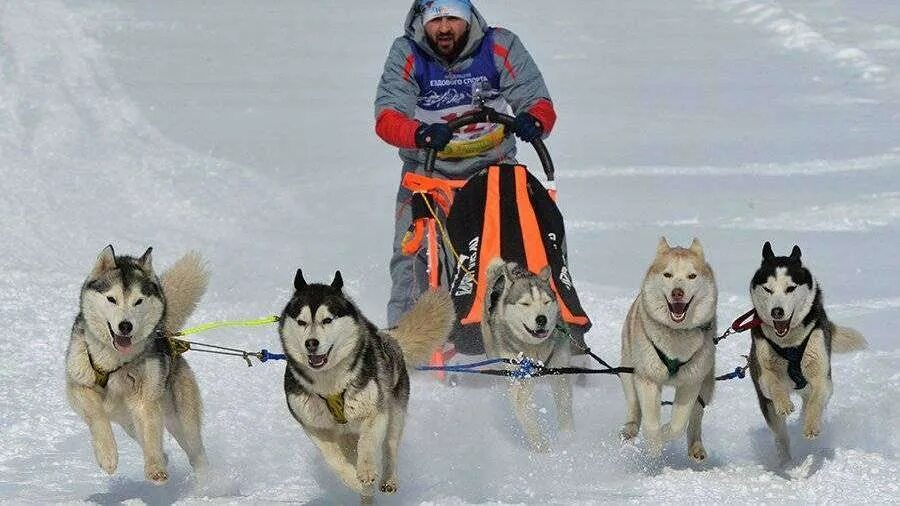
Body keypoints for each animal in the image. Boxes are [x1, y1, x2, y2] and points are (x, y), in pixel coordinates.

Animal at [65, 247, 209, 484]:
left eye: (138, 301)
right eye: (111, 299)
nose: (125, 326)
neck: (114, 363)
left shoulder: (145, 400)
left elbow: (151, 434)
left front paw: (155, 468)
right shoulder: (79, 386)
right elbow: (97, 416)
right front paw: (107, 456)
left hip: (180, 419)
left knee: (194, 450)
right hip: (130, 422)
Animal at [280, 270, 454, 500]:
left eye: (327, 320)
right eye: (301, 322)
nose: (311, 343)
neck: (330, 385)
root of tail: (389, 338)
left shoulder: (375, 413)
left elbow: (368, 444)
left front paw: (367, 471)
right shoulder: (315, 428)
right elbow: (334, 460)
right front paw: (355, 481)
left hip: (395, 413)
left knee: (390, 447)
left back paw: (388, 479)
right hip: (346, 436)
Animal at [482, 258, 572, 452]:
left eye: (546, 302)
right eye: (525, 304)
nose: (542, 319)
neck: (535, 349)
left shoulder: (560, 371)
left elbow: (564, 404)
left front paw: (568, 438)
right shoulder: (519, 376)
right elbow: (523, 407)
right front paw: (540, 446)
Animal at [620, 239, 716, 460]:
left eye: (692, 276)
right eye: (667, 275)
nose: (677, 292)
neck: (676, 336)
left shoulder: (691, 382)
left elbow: (678, 424)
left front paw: (665, 433)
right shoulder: (647, 379)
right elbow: (650, 420)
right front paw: (654, 446)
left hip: (707, 384)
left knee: (696, 417)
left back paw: (696, 447)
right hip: (627, 370)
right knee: (633, 405)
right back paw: (630, 429)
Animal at [744, 242, 864, 462]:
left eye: (790, 288)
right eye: (768, 289)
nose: (777, 312)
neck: (789, 343)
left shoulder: (821, 376)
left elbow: (816, 399)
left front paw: (811, 426)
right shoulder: (763, 373)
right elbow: (773, 382)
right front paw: (784, 403)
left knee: (809, 402)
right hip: (767, 404)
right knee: (781, 435)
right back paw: (785, 461)